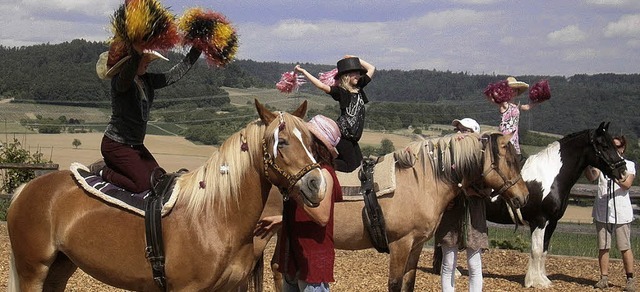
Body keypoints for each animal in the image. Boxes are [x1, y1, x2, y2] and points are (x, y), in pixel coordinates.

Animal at [5, 100, 324, 292]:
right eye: (281, 142)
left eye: (310, 142)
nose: (316, 184)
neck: (215, 216)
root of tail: (25, 191)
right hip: (33, 269)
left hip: (60, 267)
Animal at [264, 133, 528, 292]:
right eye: (509, 161)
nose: (524, 196)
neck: (420, 181)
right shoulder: (400, 243)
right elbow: (395, 283)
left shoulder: (416, 245)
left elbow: (408, 283)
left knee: (278, 267)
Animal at [484, 121, 624, 288]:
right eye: (604, 145)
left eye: (614, 145)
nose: (622, 170)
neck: (550, 176)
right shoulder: (539, 221)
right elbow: (536, 250)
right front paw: (535, 282)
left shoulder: (552, 222)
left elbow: (544, 250)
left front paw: (543, 279)